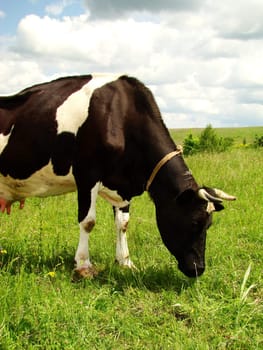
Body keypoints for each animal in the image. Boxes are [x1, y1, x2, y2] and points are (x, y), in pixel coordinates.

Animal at [0, 74, 236, 278]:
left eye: (209, 224)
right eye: (195, 222)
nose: (198, 269)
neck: (121, 116)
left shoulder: (122, 186)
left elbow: (123, 223)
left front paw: (125, 262)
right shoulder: (87, 175)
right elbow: (88, 221)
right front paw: (83, 265)